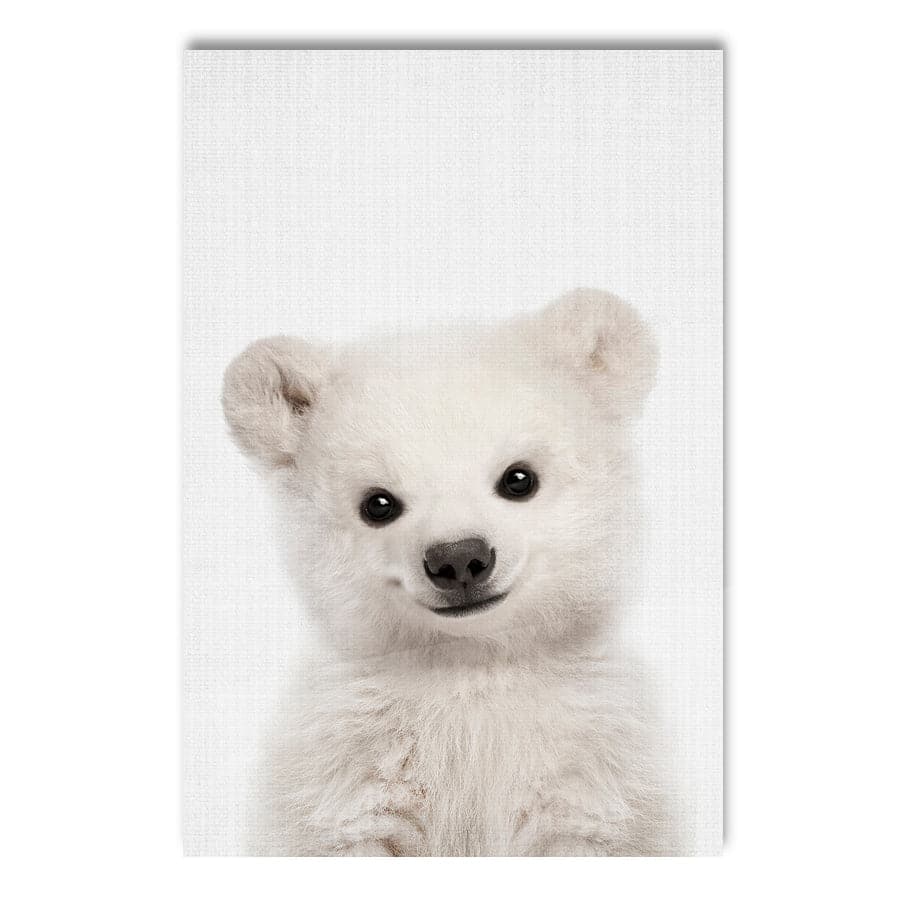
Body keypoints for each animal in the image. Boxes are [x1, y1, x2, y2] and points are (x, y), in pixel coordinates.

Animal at [221, 289, 673, 856]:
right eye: (378, 503)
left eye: (519, 478)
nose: (459, 558)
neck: (468, 665)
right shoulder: (348, 773)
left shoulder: (591, 770)